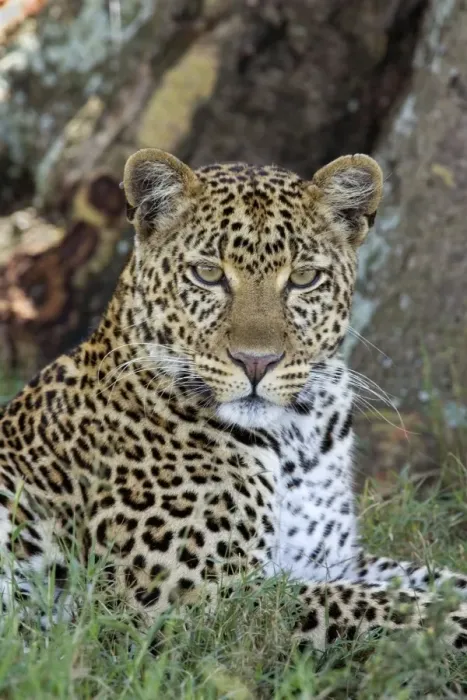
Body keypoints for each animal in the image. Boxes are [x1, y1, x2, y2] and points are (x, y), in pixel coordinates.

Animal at [1, 147, 467, 652]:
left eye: (304, 278)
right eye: (207, 274)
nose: (256, 362)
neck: (298, 435)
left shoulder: (333, 559)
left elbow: (431, 579)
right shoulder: (199, 598)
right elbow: (383, 604)